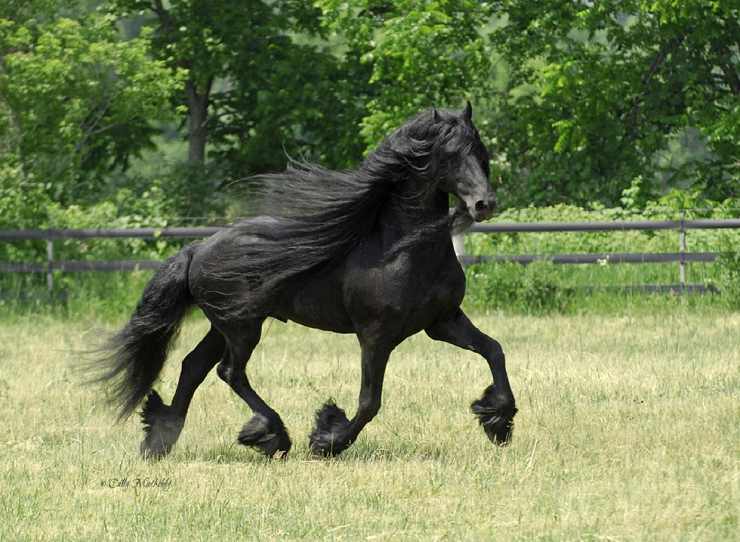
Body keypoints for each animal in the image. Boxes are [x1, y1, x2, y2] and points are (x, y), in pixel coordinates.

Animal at [97, 102, 516, 460]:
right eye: (450, 154)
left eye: (479, 150)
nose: (485, 204)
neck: (399, 249)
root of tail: (198, 249)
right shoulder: (376, 335)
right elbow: (370, 401)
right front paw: (327, 439)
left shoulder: (442, 322)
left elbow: (494, 350)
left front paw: (498, 420)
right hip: (242, 328)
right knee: (229, 372)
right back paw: (271, 436)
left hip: (226, 326)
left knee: (193, 366)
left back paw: (160, 439)